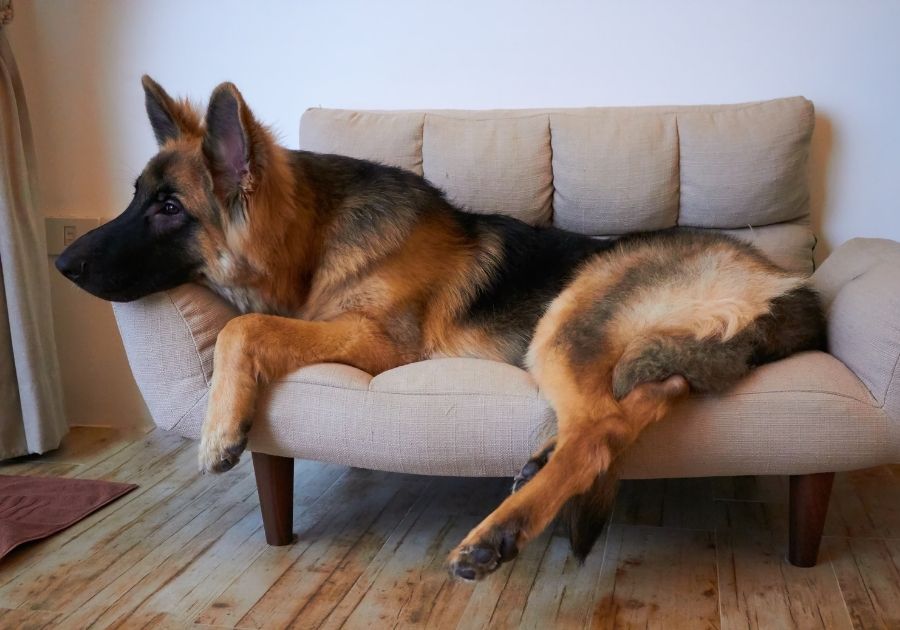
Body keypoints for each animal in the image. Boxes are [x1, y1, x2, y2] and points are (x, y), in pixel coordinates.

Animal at [56, 78, 828, 584]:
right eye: (136, 195)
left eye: (168, 208)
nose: (61, 261)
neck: (315, 237)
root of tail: (783, 283)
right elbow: (250, 323)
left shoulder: (377, 343)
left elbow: (241, 328)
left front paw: (221, 432)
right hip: (640, 353)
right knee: (627, 411)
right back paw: (536, 467)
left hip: (565, 319)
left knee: (598, 432)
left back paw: (502, 530)